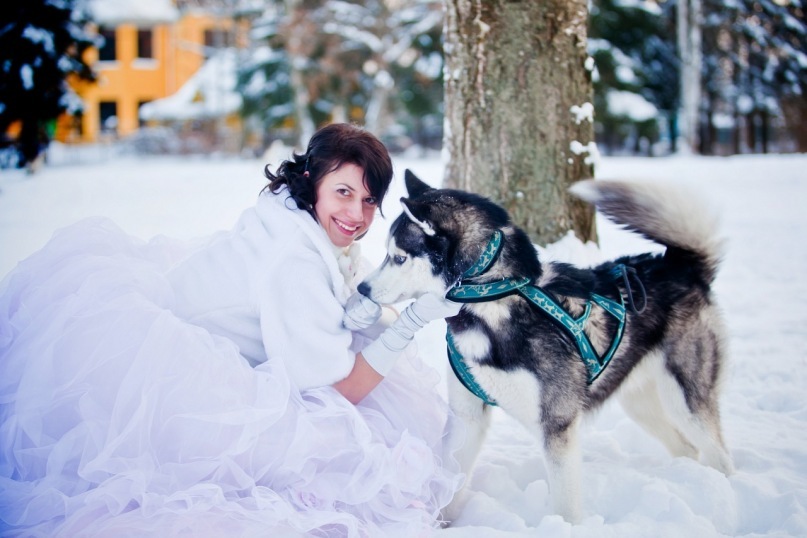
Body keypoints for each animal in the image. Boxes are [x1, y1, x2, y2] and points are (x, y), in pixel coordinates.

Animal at [358, 170, 734, 523]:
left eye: (399, 258)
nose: (362, 288)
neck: (496, 301)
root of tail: (680, 265)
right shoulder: (467, 415)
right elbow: (450, 481)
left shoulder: (557, 424)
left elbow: (565, 503)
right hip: (642, 403)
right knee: (687, 448)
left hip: (684, 399)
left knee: (719, 455)